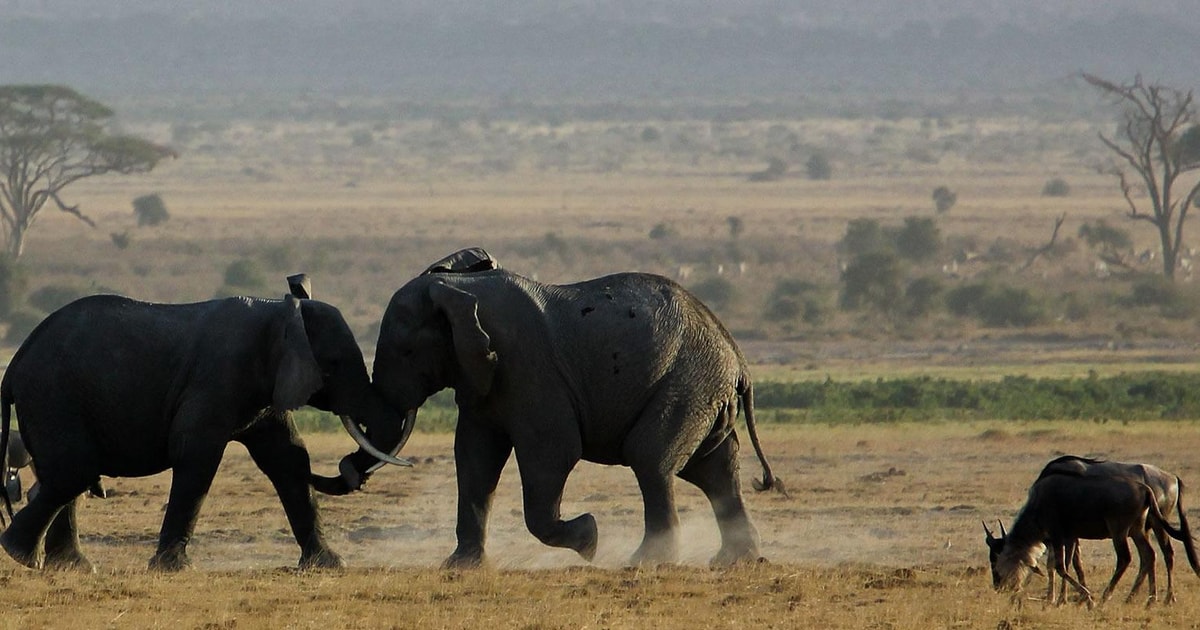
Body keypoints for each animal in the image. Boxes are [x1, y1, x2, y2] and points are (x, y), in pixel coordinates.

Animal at [0, 277, 412, 571]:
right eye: (334, 365)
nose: (353, 471)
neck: (279, 314)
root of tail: (16, 360)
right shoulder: (218, 376)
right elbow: (197, 456)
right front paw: (174, 569)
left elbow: (289, 459)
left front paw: (329, 565)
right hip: (53, 396)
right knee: (74, 469)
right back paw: (20, 554)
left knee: (67, 474)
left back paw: (68, 566)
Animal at [364, 252, 777, 568]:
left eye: (405, 352)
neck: (459, 288)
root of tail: (737, 357)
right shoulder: (480, 379)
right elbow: (474, 457)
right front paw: (459, 567)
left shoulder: (529, 369)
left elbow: (554, 452)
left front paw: (589, 540)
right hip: (702, 390)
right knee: (714, 469)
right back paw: (733, 561)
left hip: (688, 382)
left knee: (651, 459)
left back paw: (645, 562)